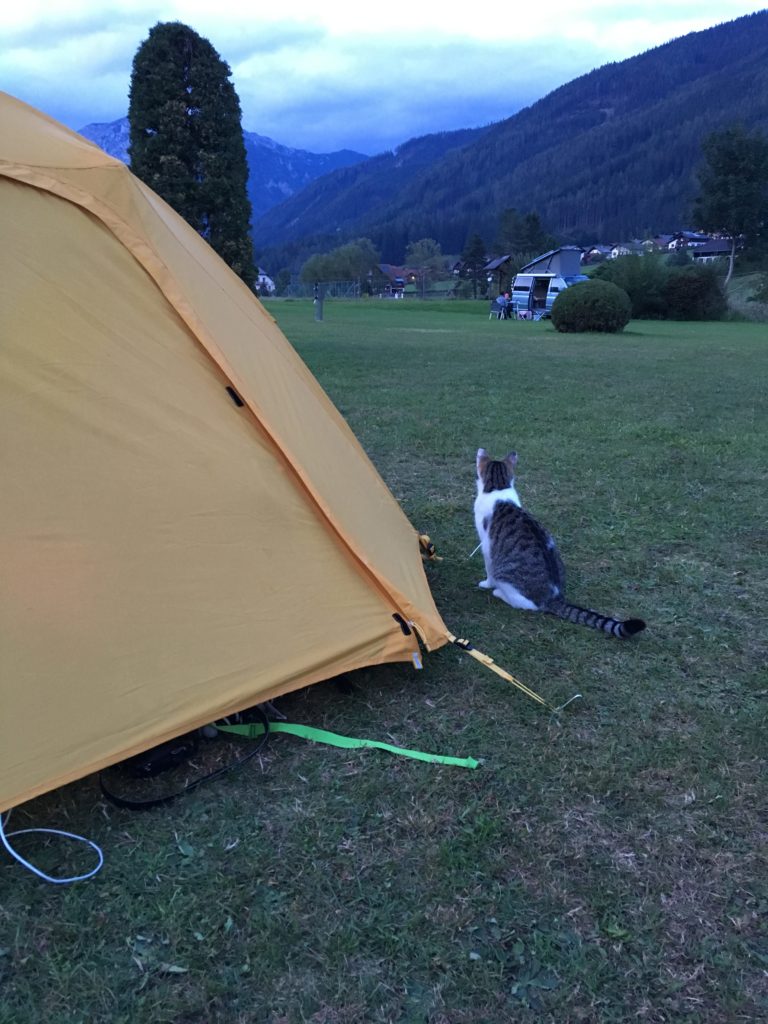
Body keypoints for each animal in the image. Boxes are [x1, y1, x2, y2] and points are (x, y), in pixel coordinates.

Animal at [475, 450, 643, 634]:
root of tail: (554, 598)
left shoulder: (486, 545)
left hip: (505, 575)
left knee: (527, 604)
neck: (499, 487)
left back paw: (499, 593)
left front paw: (486, 584)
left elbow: (488, 568)